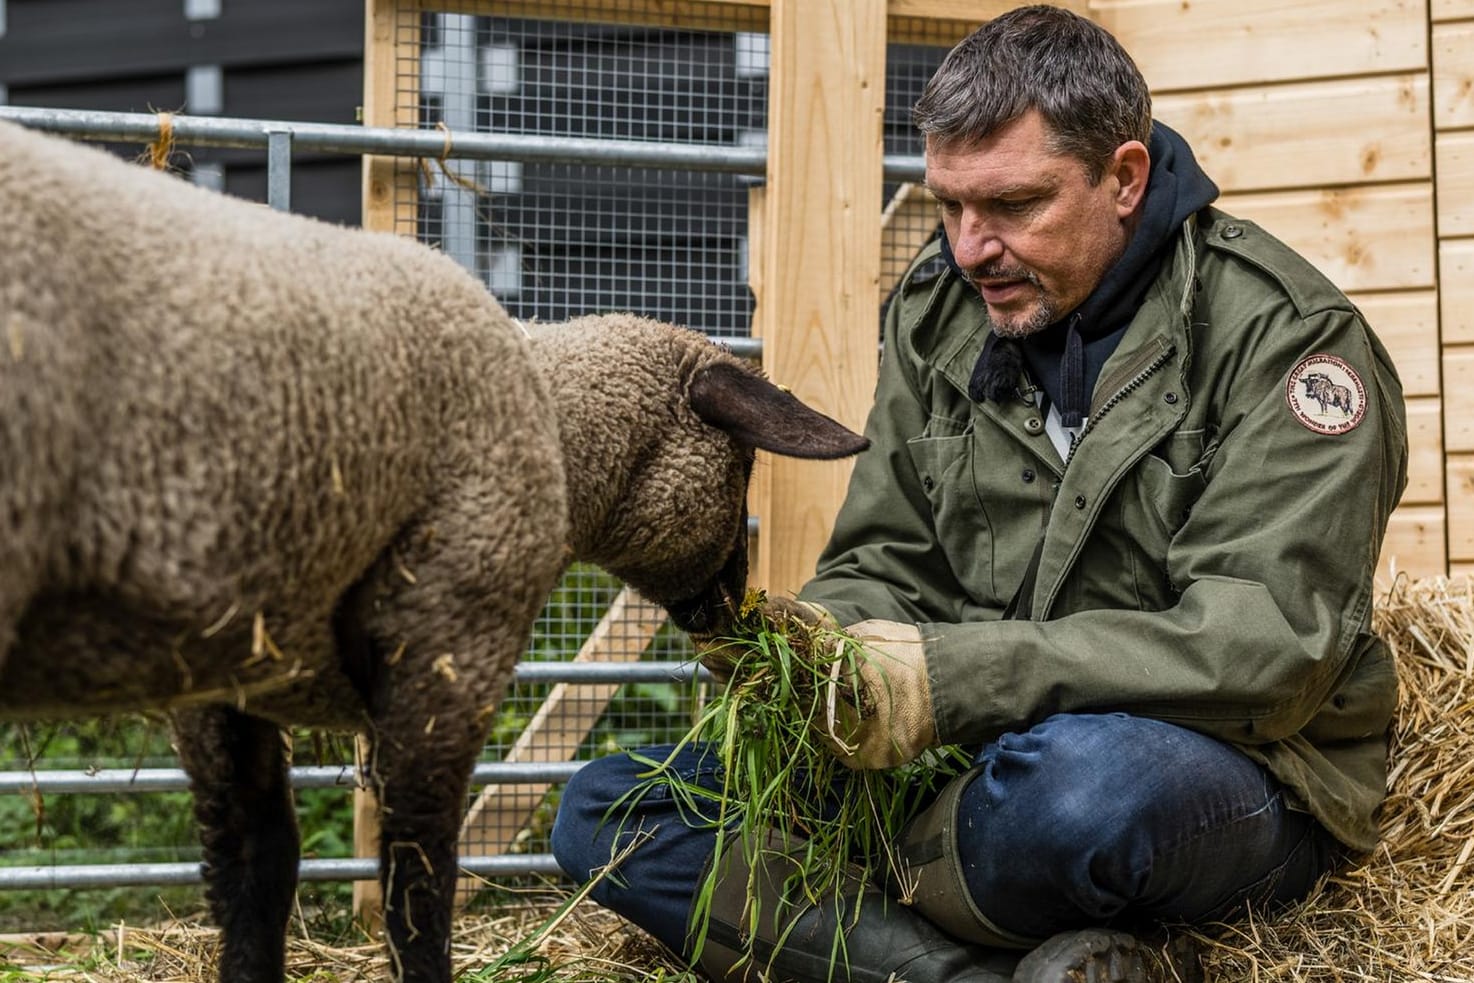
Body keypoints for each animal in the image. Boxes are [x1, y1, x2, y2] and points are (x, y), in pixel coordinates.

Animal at [0, 117, 866, 983]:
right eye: (744, 465)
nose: (737, 611)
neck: (555, 424)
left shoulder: (227, 671)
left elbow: (255, 867)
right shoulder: (449, 638)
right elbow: (416, 886)